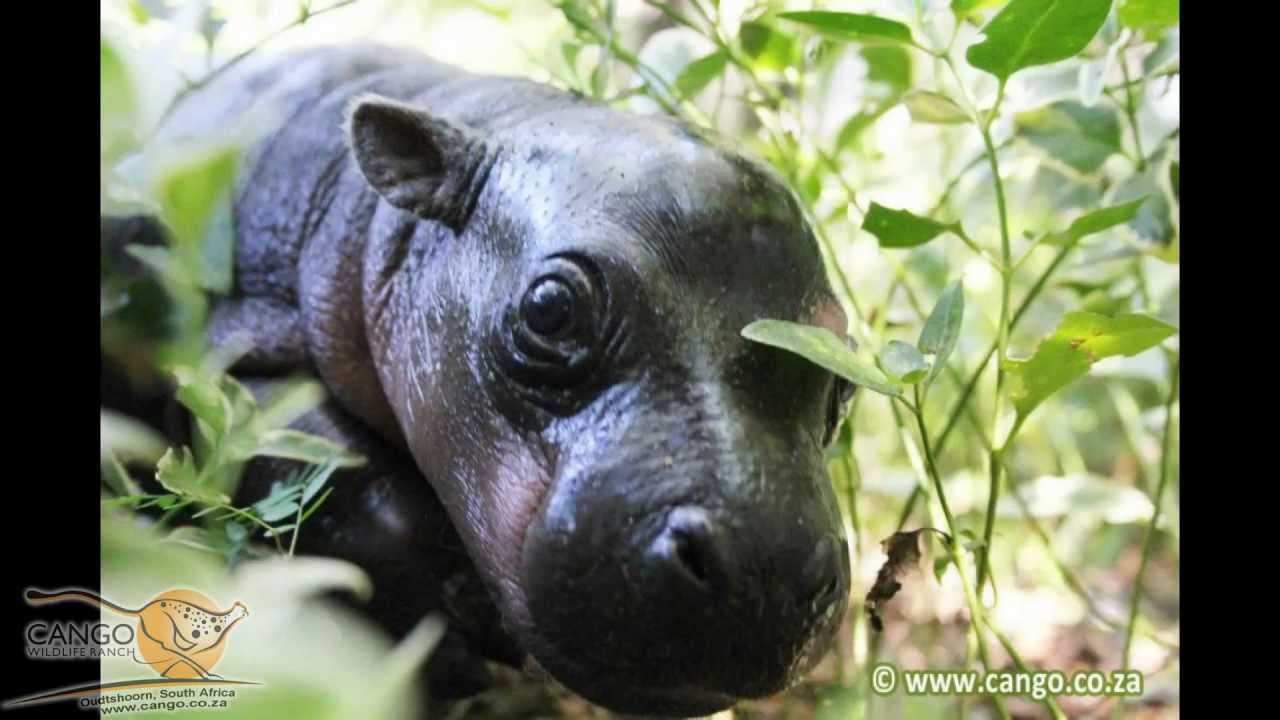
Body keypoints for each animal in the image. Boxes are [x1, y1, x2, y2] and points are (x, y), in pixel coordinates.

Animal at [130, 42, 855, 716]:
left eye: (844, 375)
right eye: (550, 308)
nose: (767, 568)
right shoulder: (230, 355)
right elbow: (336, 470)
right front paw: (459, 641)